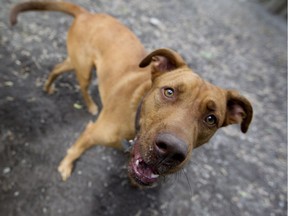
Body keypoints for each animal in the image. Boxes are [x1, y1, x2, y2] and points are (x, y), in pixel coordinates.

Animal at [10, 1, 252, 187]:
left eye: (211, 119)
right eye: (169, 92)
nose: (171, 151)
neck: (136, 118)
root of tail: (88, 14)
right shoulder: (91, 133)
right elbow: (75, 148)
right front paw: (66, 165)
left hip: (76, 62)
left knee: (58, 68)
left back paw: (49, 86)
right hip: (85, 70)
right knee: (83, 85)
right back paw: (91, 105)